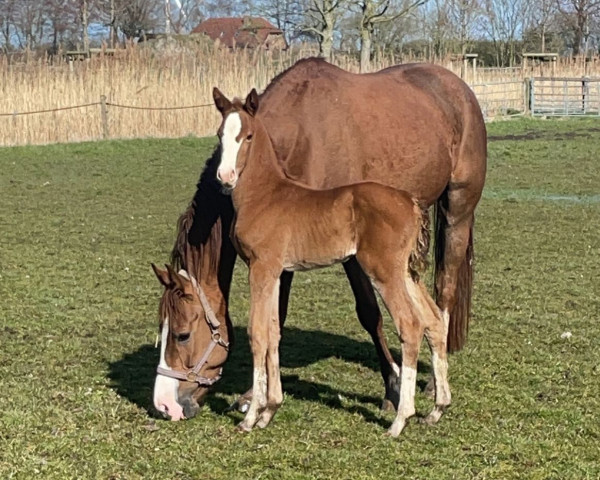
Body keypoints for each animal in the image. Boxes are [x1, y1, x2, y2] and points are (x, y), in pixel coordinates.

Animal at [213, 88, 452, 436]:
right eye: (220, 135)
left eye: (248, 136)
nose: (225, 177)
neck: (265, 195)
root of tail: (411, 202)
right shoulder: (275, 272)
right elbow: (273, 332)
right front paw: (270, 410)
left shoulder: (261, 267)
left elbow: (258, 334)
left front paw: (250, 416)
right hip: (406, 272)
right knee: (433, 321)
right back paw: (437, 408)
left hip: (383, 270)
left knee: (410, 324)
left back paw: (400, 419)